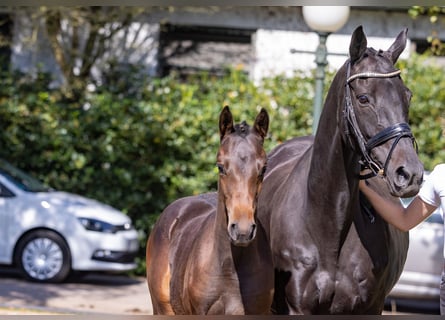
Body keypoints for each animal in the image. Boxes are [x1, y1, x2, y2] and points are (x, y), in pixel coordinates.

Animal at [255, 25, 422, 316]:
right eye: (364, 98)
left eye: (407, 96)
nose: (409, 174)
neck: (327, 224)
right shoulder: (297, 309)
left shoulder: (369, 308)